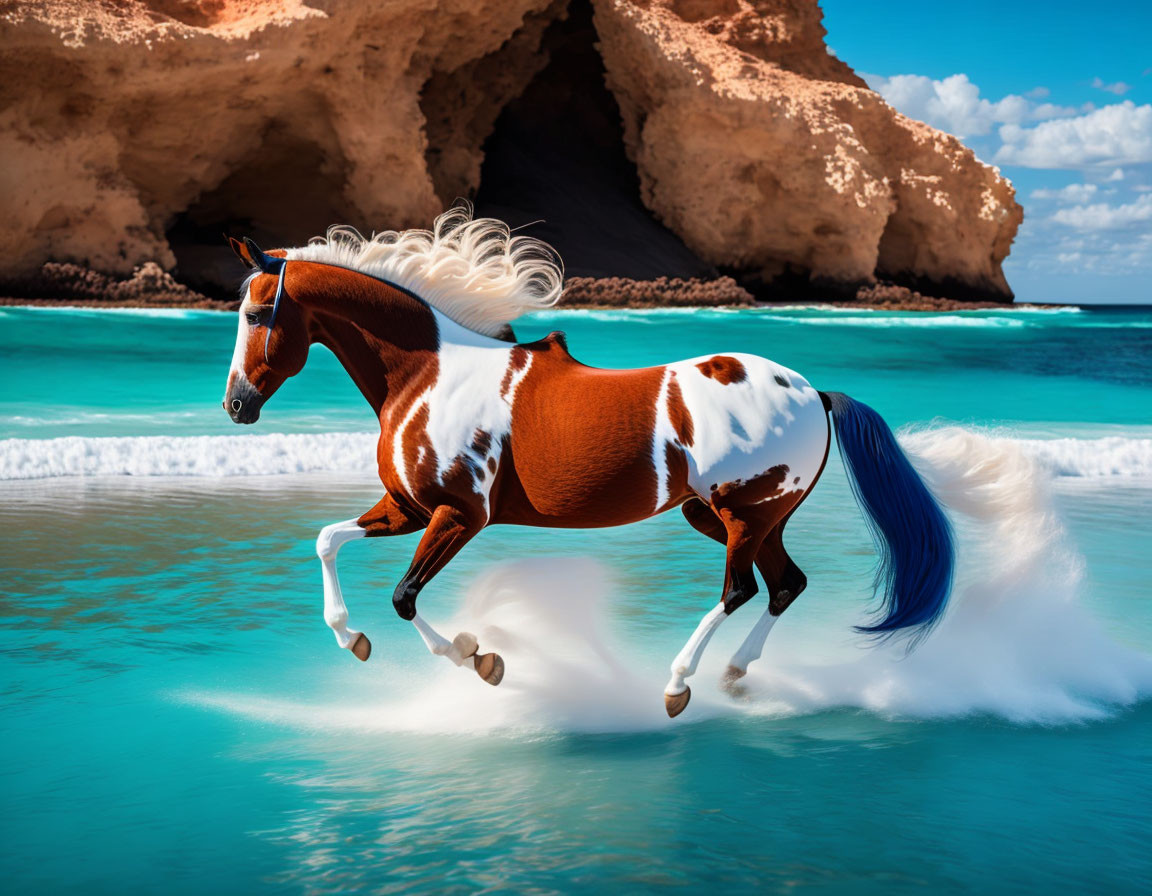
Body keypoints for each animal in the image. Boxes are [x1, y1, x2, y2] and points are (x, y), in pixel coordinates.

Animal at [217, 206, 953, 714]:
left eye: (254, 314)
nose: (236, 405)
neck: (426, 375)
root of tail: (812, 392)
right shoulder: (407, 508)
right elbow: (327, 542)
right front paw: (355, 641)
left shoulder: (459, 515)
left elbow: (403, 597)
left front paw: (479, 658)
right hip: (733, 516)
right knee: (785, 585)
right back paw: (737, 677)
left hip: (743, 513)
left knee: (740, 591)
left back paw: (678, 684)